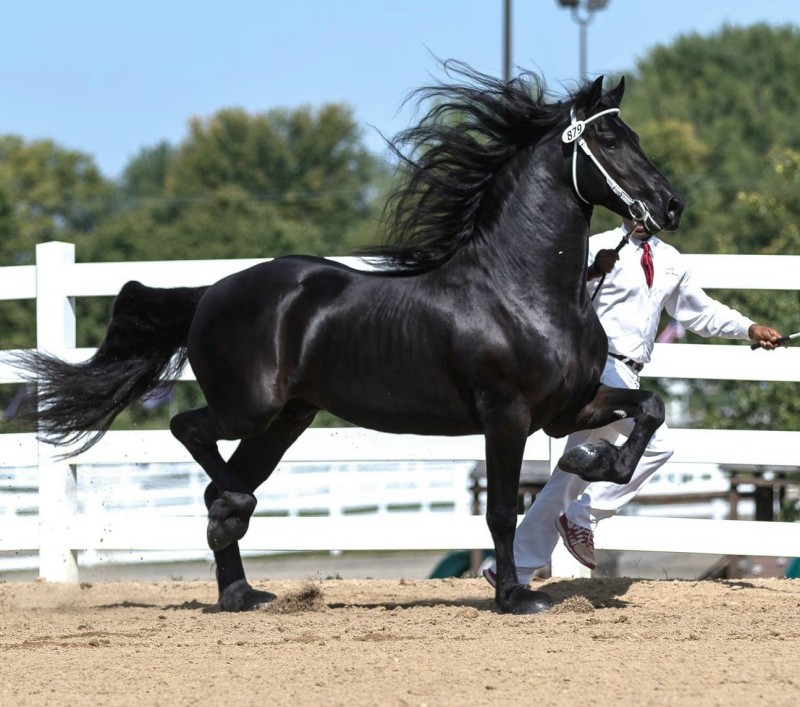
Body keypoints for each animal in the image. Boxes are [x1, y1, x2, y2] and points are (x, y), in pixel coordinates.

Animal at [19, 61, 684, 614]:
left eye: (633, 136)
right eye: (608, 141)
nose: (670, 205)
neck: (520, 290)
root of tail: (210, 293)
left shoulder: (569, 406)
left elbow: (649, 408)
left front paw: (589, 459)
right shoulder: (506, 415)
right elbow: (499, 509)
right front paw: (517, 598)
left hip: (286, 419)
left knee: (216, 484)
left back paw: (241, 590)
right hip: (248, 408)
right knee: (192, 435)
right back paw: (234, 526)